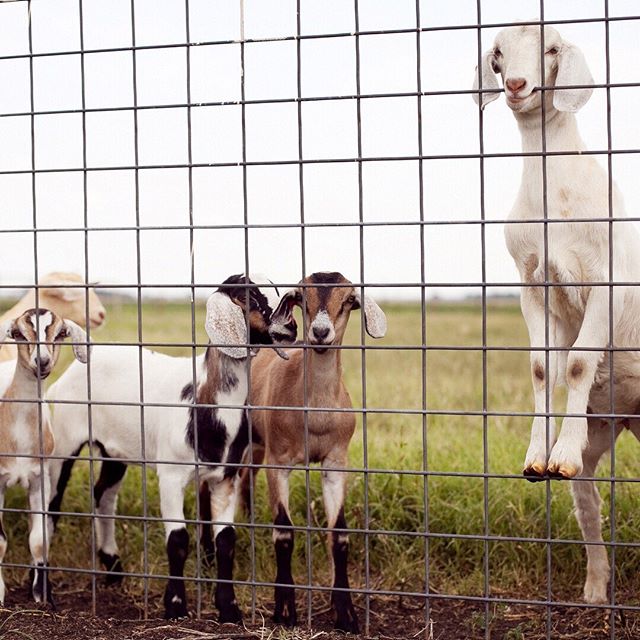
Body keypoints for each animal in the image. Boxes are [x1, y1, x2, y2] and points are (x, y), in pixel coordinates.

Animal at [0, 308, 89, 608]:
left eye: (60, 333)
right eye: (18, 333)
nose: (42, 361)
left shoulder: (40, 479)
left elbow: (39, 539)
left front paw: (43, 595)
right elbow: (0, 540)